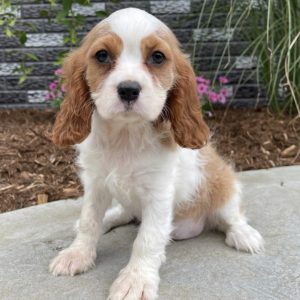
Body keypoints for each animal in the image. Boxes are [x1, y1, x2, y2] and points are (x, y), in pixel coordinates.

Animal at [50, 7, 264, 300]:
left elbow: (147, 239)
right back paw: (111, 217)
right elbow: (89, 221)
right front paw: (77, 254)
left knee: (232, 215)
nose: (129, 89)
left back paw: (244, 234)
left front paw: (136, 279)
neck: (125, 135)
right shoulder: (96, 185)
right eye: (102, 55)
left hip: (224, 185)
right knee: (126, 213)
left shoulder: (158, 193)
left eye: (158, 57)